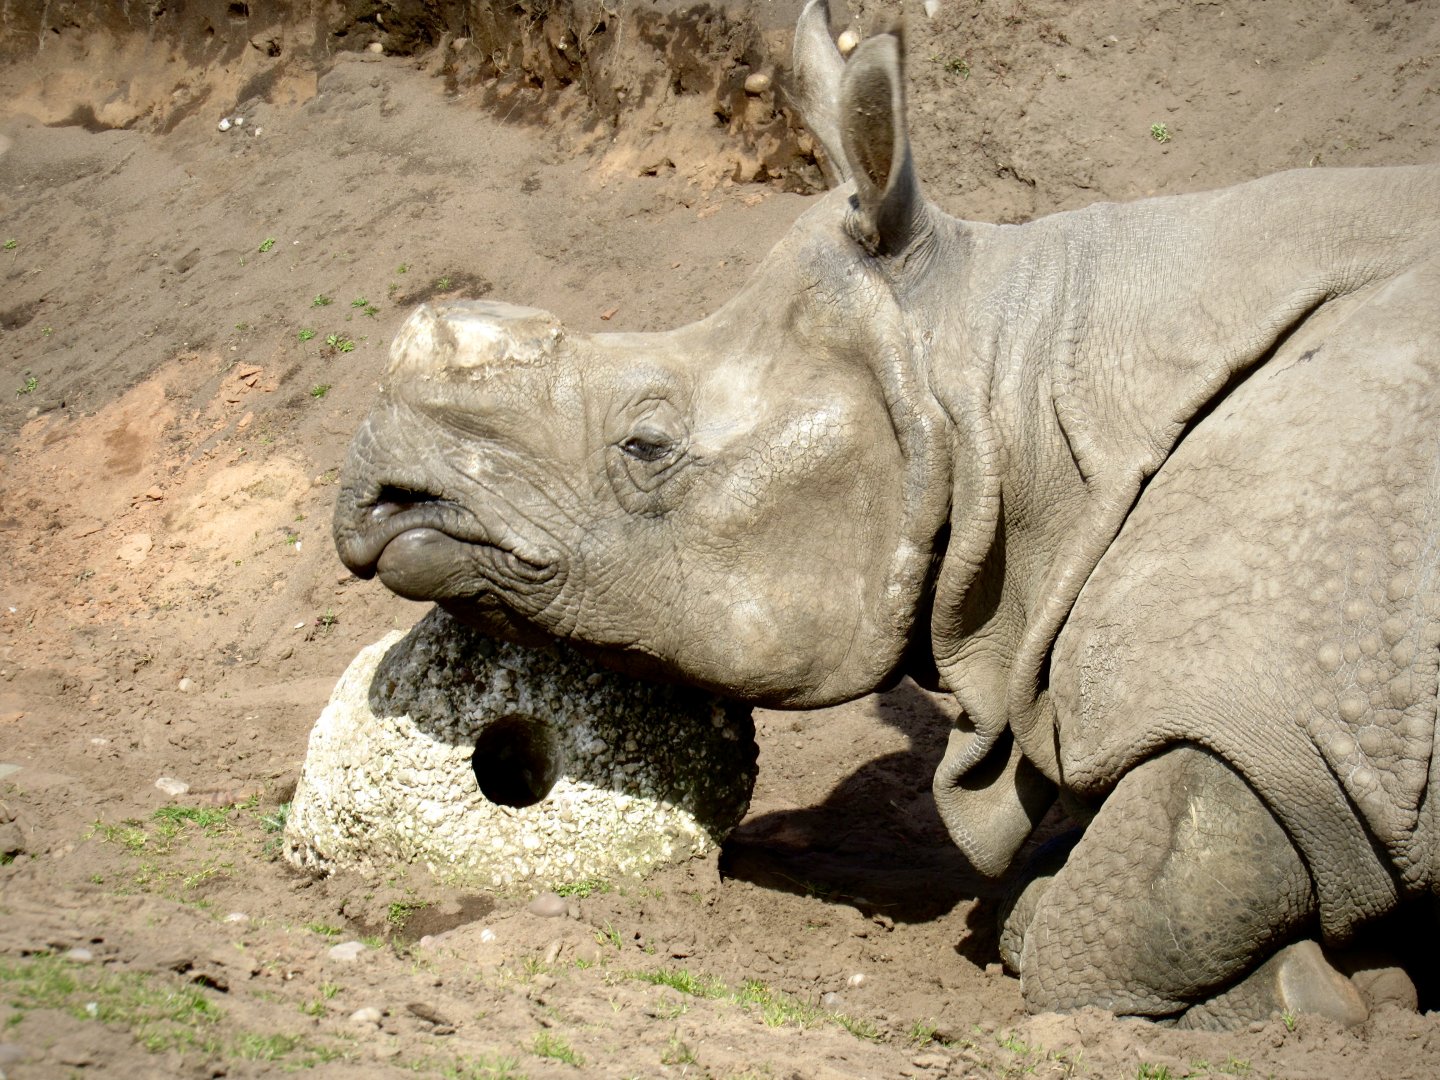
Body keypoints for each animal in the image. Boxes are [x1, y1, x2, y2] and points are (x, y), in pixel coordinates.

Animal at [334, 1, 1440, 1028]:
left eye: (646, 446)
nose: (378, 499)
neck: (1005, 380)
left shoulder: (1284, 696)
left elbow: (1121, 916)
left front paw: (1329, 1001)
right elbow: (1073, 902)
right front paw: (1340, 988)